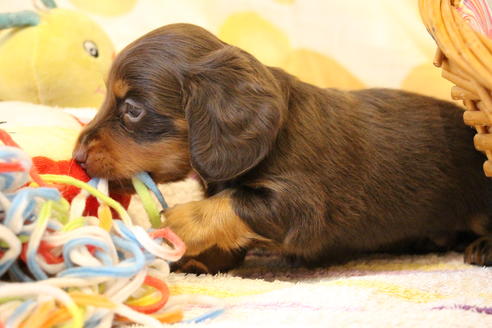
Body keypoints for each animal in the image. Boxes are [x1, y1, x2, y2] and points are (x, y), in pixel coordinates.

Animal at [73, 23, 492, 272]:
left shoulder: (302, 206)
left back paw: (482, 247)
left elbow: (231, 203)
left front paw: (180, 222)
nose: (76, 157)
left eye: (132, 109)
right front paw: (198, 262)